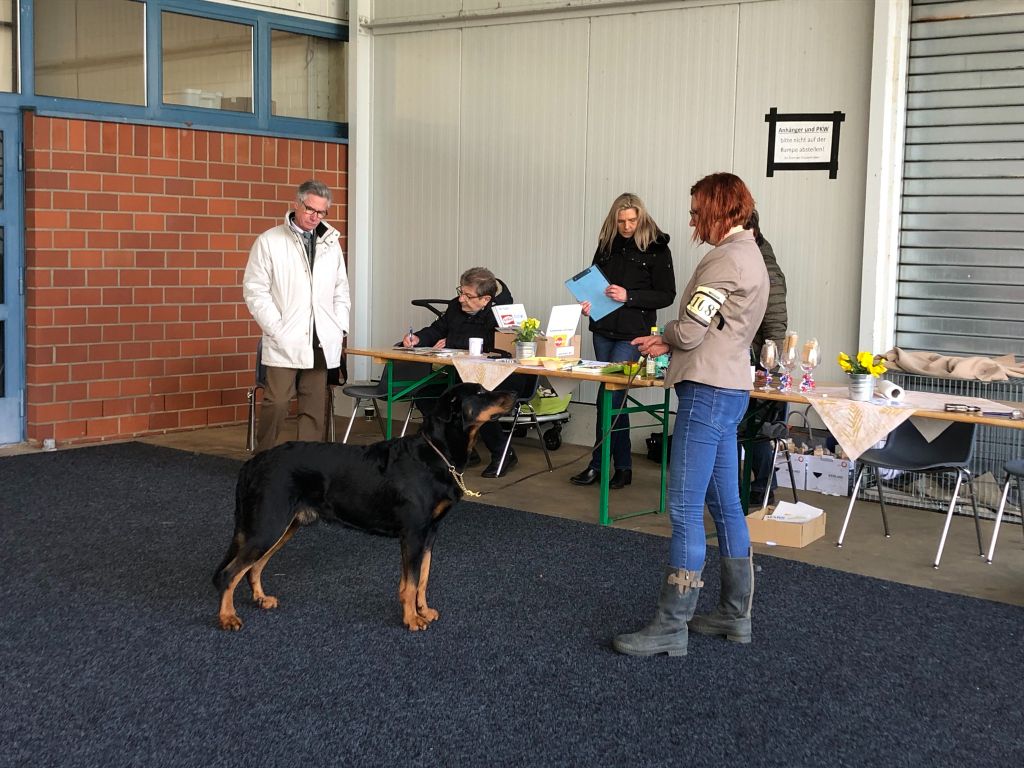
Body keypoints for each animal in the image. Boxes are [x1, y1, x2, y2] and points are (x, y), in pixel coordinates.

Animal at [217, 382, 520, 630]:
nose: (515, 394)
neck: (436, 453)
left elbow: (422, 578)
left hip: (283, 526)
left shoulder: (430, 533)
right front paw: (411, 619)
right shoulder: (413, 533)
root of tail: (253, 462)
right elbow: (411, 582)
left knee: (254, 567)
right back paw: (227, 617)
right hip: (268, 524)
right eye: (479, 393)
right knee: (231, 572)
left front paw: (422, 611)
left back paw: (261, 599)